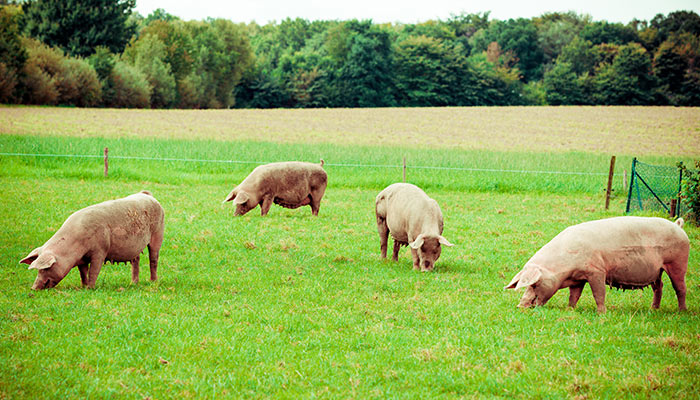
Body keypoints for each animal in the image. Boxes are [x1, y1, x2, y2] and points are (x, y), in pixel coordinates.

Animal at [19, 191, 165, 290]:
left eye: (45, 268)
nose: (33, 288)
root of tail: (148, 195)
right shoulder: (81, 259)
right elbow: (83, 272)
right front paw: (83, 286)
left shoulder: (100, 251)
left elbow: (93, 270)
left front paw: (90, 288)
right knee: (136, 261)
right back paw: (133, 283)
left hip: (158, 234)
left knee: (153, 259)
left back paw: (153, 281)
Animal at [504, 216, 688, 312]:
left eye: (534, 285)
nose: (520, 306)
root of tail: (678, 226)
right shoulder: (578, 279)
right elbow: (574, 295)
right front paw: (570, 309)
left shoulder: (596, 271)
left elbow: (598, 293)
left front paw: (602, 313)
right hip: (658, 270)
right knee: (659, 286)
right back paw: (653, 309)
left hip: (677, 263)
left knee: (680, 288)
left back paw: (681, 311)